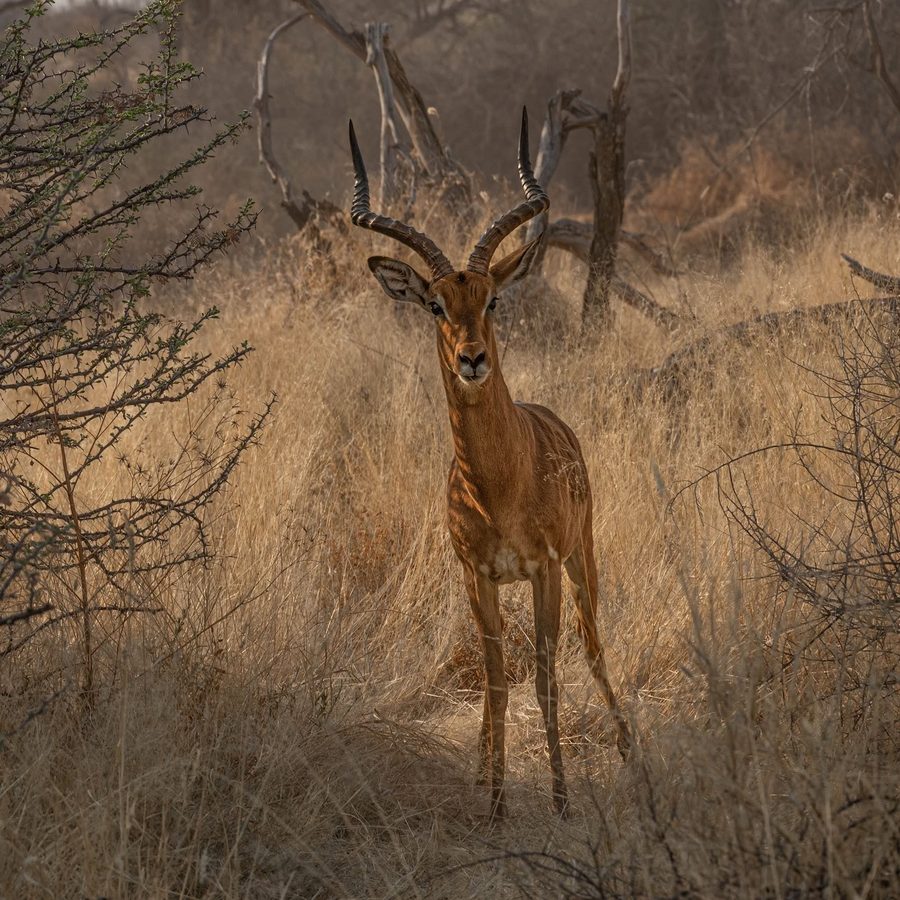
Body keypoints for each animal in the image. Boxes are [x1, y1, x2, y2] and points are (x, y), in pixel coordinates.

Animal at [348, 109, 632, 820]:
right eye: (436, 305)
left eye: (493, 300)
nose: (472, 359)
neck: (501, 485)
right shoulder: (477, 573)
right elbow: (499, 681)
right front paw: (498, 800)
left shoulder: (545, 568)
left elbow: (547, 676)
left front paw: (560, 797)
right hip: (496, 586)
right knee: (495, 668)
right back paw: (483, 770)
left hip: (583, 560)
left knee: (593, 646)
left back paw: (628, 749)